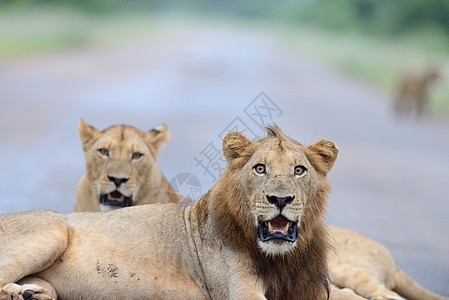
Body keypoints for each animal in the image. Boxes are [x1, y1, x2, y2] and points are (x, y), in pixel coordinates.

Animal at [0, 126, 336, 300]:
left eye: (299, 170)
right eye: (260, 169)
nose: (280, 198)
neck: (282, 259)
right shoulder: (238, 289)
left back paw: (28, 293)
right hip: (52, 231)